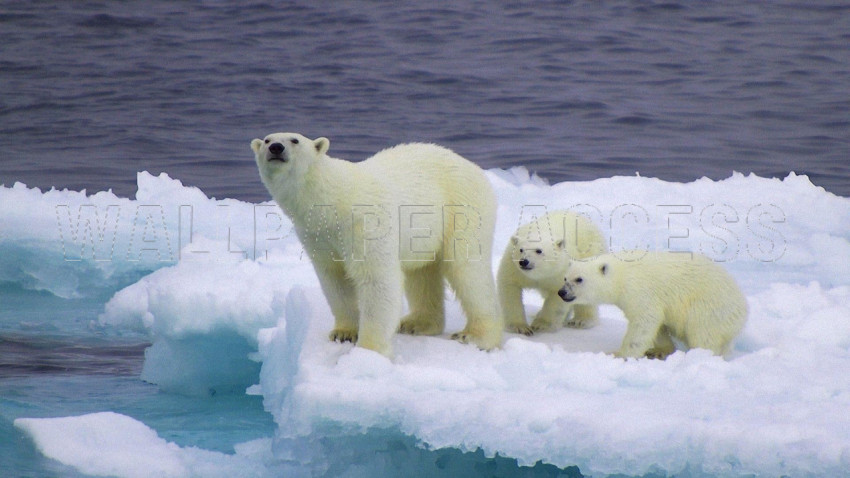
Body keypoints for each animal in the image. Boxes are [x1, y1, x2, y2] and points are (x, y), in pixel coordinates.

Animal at [252, 132, 502, 357]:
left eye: (294, 140)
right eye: (266, 139)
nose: (275, 148)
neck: (333, 200)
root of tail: (475, 168)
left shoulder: (365, 224)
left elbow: (377, 280)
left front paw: (368, 350)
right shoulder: (317, 235)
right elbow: (335, 279)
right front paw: (344, 333)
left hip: (461, 208)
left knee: (466, 270)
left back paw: (476, 336)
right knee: (421, 274)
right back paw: (416, 323)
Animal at [558, 251, 748, 359]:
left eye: (579, 279)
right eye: (565, 278)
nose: (562, 292)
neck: (622, 275)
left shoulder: (641, 290)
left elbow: (644, 321)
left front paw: (618, 354)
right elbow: (658, 324)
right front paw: (657, 350)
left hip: (710, 308)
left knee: (703, 334)